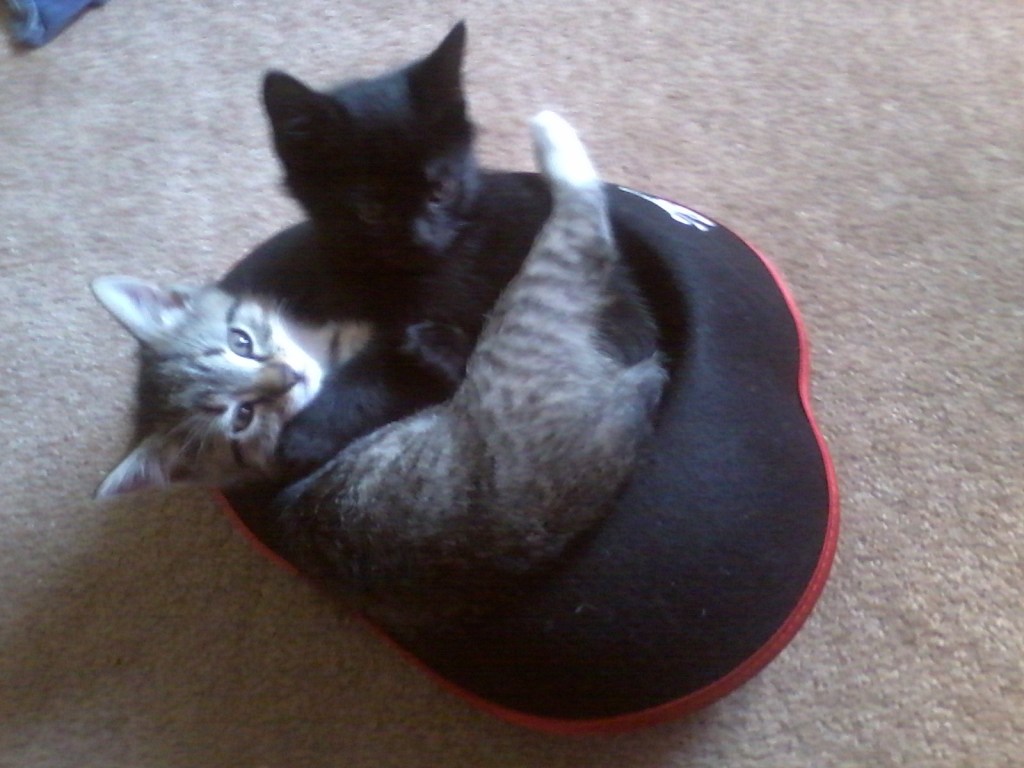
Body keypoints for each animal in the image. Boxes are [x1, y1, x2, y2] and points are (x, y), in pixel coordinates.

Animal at [96, 112, 666, 625]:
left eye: (242, 341)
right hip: (535, 303)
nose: (288, 379)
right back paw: (551, 134)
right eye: (241, 418)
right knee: (582, 224)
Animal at [221, 21, 659, 480]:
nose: (421, 238)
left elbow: (380, 374)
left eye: (442, 190)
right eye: (370, 210)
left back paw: (435, 347)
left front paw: (305, 436)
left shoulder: (455, 289)